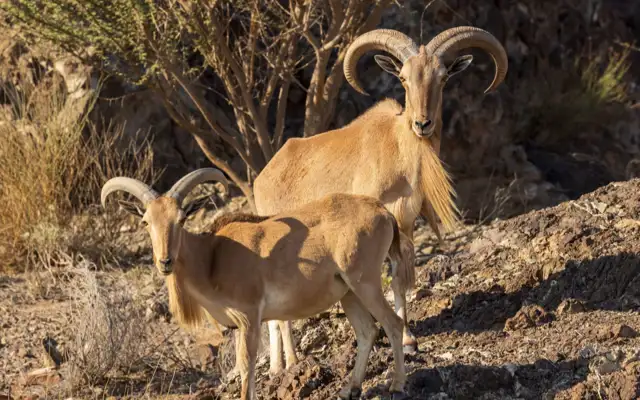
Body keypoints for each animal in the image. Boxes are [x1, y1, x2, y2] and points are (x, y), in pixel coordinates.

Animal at [100, 168, 415, 400]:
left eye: (181, 218)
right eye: (146, 221)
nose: (165, 261)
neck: (211, 257)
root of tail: (384, 213)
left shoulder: (249, 316)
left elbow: (246, 365)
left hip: (365, 282)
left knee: (392, 323)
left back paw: (397, 384)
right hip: (348, 292)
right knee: (367, 331)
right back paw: (351, 389)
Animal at [253, 26, 508, 375]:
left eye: (443, 77)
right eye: (402, 77)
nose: (423, 124)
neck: (399, 153)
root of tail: (263, 176)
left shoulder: (404, 226)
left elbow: (400, 278)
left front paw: (409, 339)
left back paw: (279, 365)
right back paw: (289, 363)